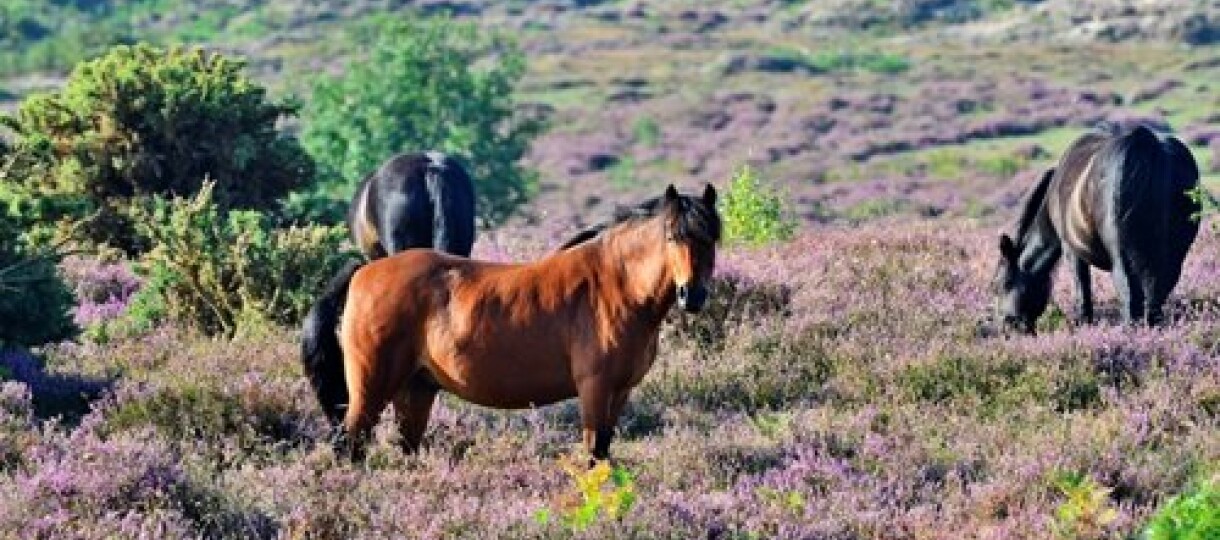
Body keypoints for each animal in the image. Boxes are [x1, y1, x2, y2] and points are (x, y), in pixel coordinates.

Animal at [305, 184, 717, 458]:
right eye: (672, 236)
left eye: (712, 238)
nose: (692, 295)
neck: (615, 286)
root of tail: (364, 273)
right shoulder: (595, 388)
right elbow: (592, 455)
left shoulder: (620, 391)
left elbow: (604, 453)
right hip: (371, 390)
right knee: (350, 444)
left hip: (416, 390)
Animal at [990, 123, 1200, 333]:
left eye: (1001, 284)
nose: (1006, 327)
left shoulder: (1071, 250)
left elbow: (1083, 295)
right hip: (1173, 257)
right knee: (1156, 296)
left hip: (1122, 258)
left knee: (1130, 297)